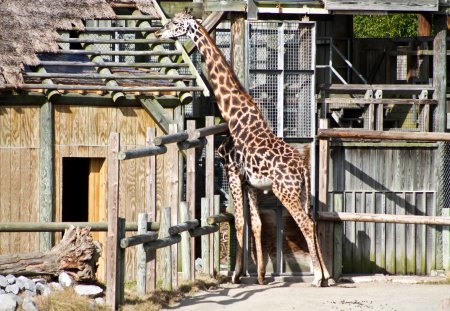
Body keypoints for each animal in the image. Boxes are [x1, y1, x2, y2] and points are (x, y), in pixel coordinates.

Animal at [156, 11, 334, 288]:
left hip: (285, 191)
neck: (234, 116)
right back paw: (328, 275)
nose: (159, 33)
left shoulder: (232, 174)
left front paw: (235, 275)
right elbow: (257, 223)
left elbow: (239, 223)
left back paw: (317, 277)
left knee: (305, 223)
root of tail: (302, 168)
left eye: (175, 23)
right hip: (302, 192)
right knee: (313, 221)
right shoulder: (251, 183)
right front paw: (260, 275)